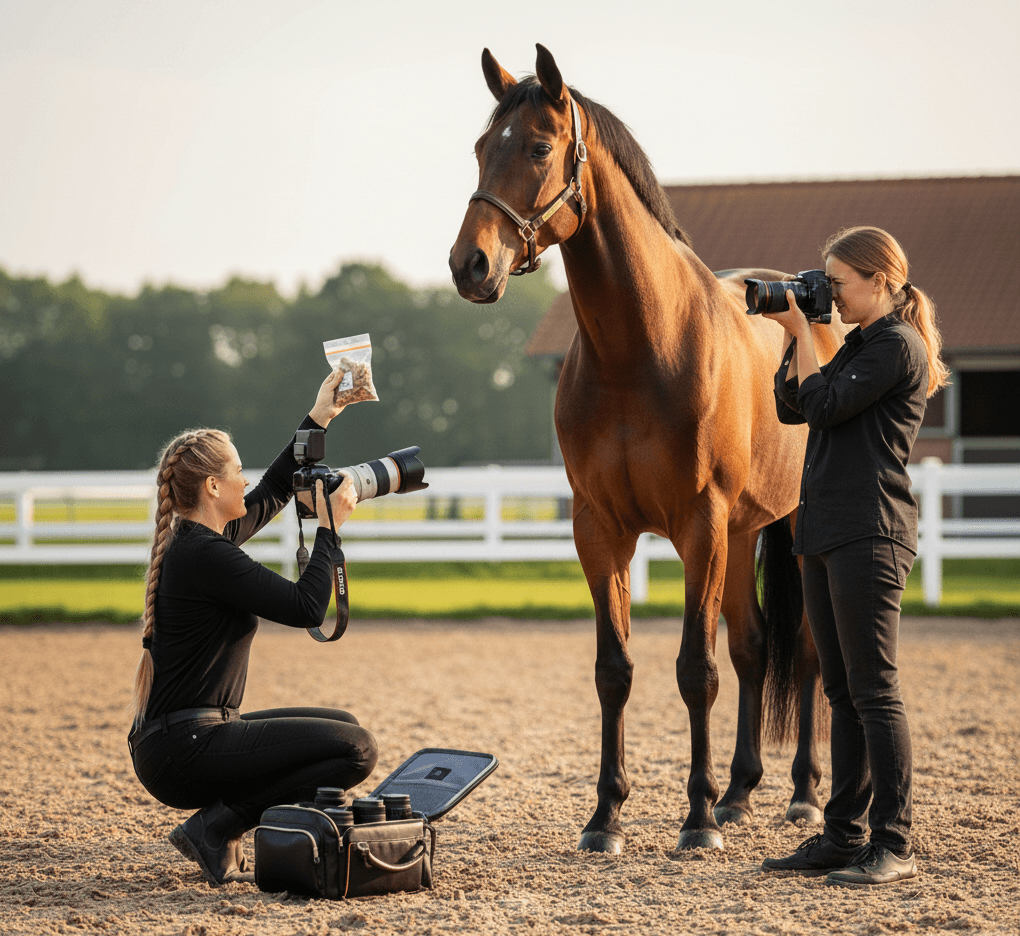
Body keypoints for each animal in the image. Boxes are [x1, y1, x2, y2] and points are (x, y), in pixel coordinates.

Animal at [450, 45, 846, 853]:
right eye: (479, 148)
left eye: (537, 147)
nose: (469, 265)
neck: (641, 348)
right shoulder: (601, 529)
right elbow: (616, 669)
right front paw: (606, 816)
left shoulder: (698, 524)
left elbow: (695, 670)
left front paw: (695, 821)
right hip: (743, 532)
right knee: (753, 647)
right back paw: (740, 792)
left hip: (786, 528)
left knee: (804, 654)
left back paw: (799, 795)